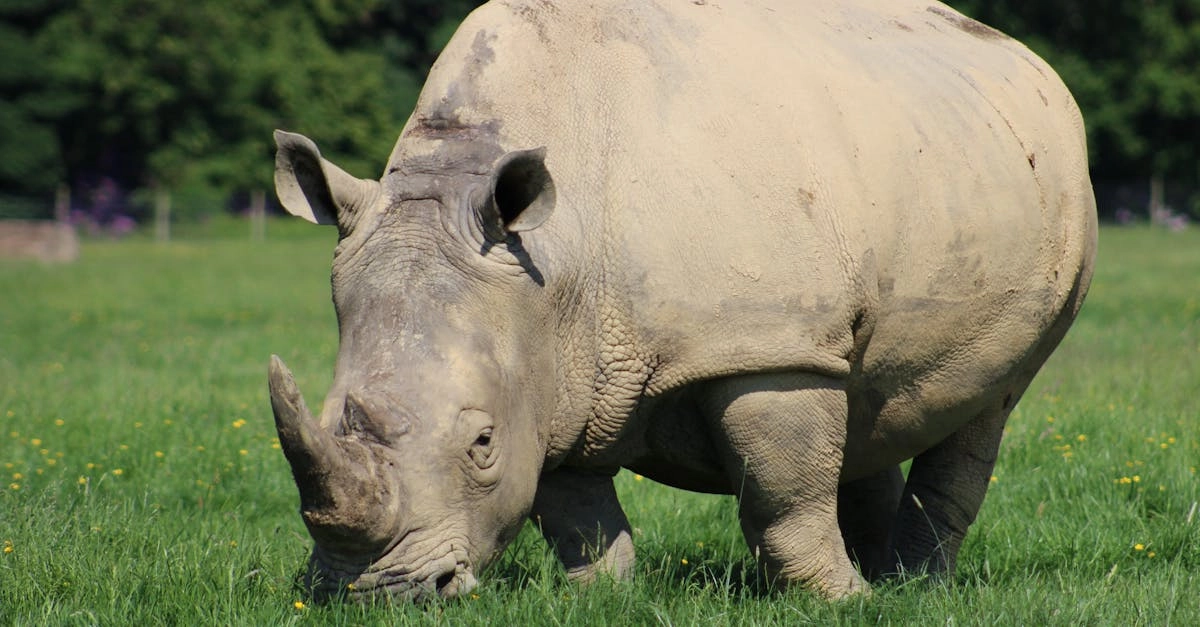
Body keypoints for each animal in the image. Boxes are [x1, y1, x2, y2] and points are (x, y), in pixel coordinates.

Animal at [266, 0, 1097, 601]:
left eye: (482, 443)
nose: (377, 593)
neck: (556, 260)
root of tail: (1029, 60)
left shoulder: (766, 346)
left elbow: (782, 495)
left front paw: (841, 603)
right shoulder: (555, 363)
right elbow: (574, 509)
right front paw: (600, 597)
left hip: (1058, 210)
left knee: (986, 404)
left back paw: (913, 589)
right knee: (870, 394)